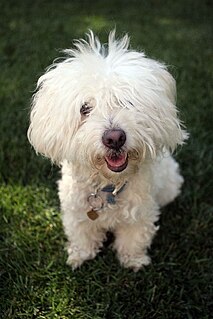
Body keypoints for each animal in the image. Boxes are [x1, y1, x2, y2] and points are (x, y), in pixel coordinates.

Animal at [27, 31, 187, 272]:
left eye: (127, 102)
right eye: (85, 108)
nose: (114, 138)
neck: (108, 186)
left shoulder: (140, 214)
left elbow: (134, 240)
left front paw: (134, 262)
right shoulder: (76, 212)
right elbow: (82, 235)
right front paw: (80, 256)